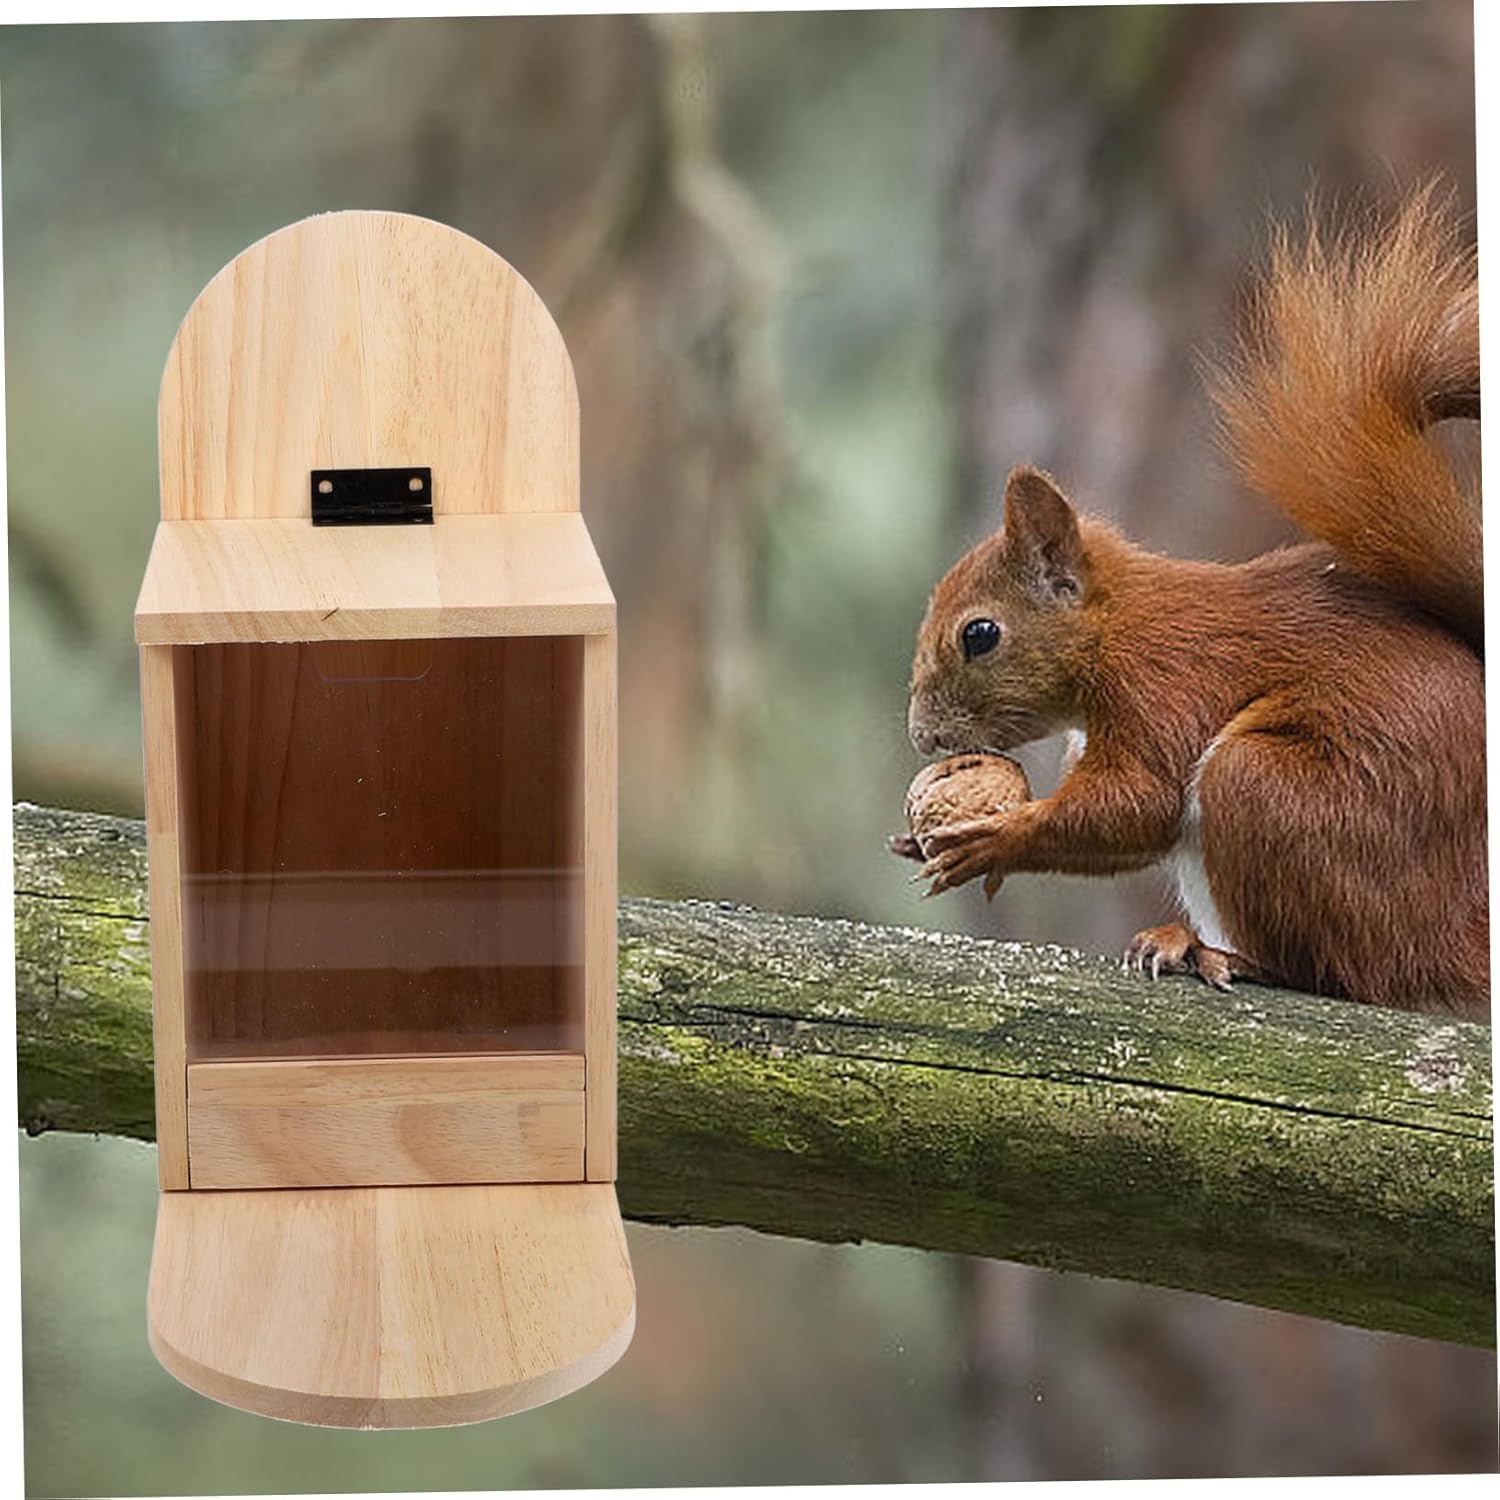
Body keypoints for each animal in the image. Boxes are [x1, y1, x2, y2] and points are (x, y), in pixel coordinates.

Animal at [896, 186, 1487, 1020]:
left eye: (980, 635)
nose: (923, 738)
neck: (1118, 628)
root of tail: (1460, 936)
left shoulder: (1166, 685)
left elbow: (1142, 800)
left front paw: (998, 836)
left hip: (1271, 794)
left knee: (1341, 976)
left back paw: (1220, 954)